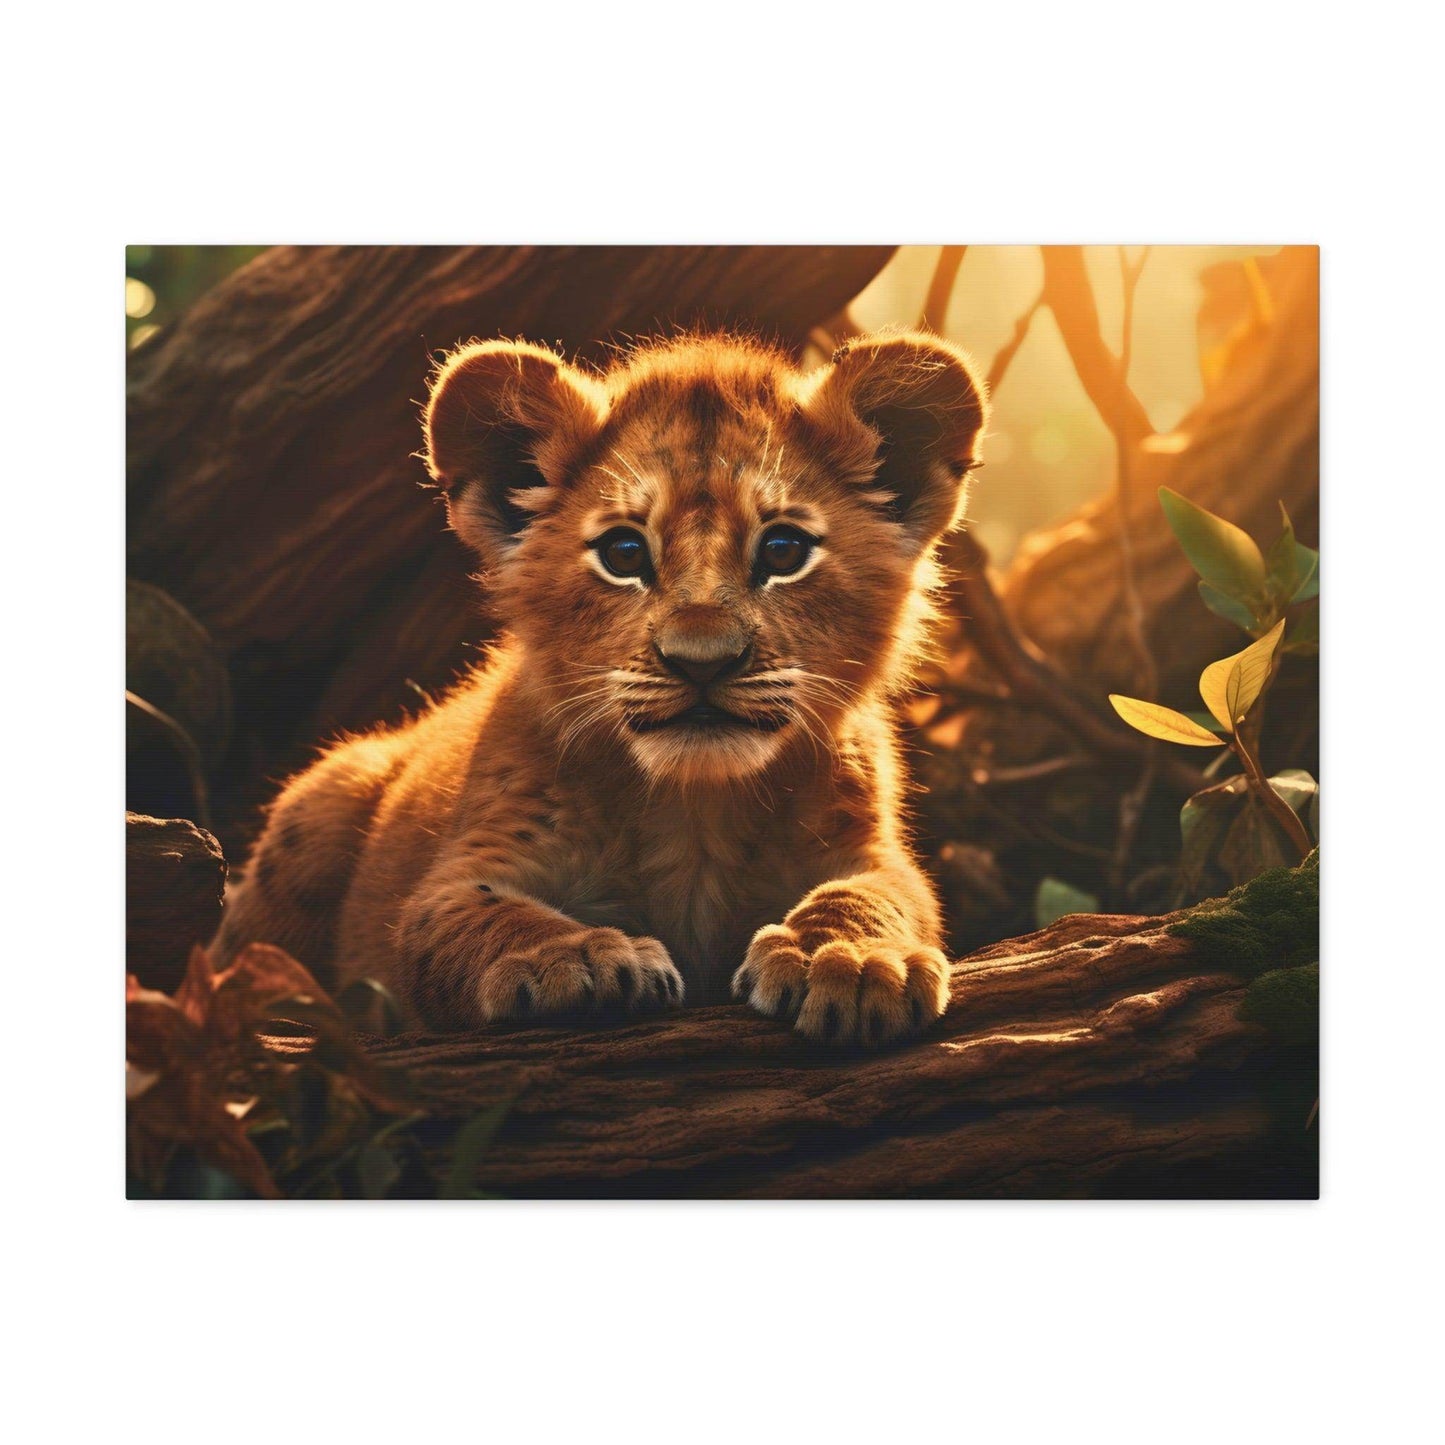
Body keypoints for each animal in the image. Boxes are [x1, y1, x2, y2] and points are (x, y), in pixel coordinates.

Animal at [213, 329, 988, 1046]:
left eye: (783, 550)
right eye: (623, 553)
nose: (702, 661)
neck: (694, 811)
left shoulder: (872, 851)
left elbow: (872, 894)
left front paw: (849, 959)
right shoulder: (462, 871)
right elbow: (486, 915)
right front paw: (573, 959)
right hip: (321, 801)